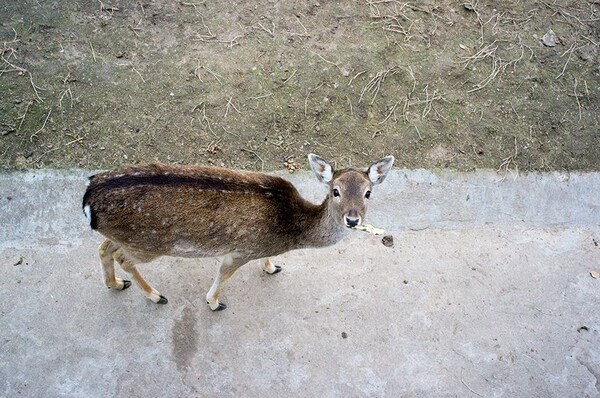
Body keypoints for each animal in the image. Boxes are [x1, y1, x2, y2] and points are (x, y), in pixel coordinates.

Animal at [83, 154, 394, 310]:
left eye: (368, 192)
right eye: (335, 191)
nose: (352, 219)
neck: (289, 230)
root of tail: (87, 197)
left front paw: (271, 267)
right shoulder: (241, 250)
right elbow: (223, 274)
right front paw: (213, 302)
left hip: (124, 236)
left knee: (103, 247)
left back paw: (115, 284)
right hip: (147, 245)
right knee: (123, 257)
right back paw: (155, 295)